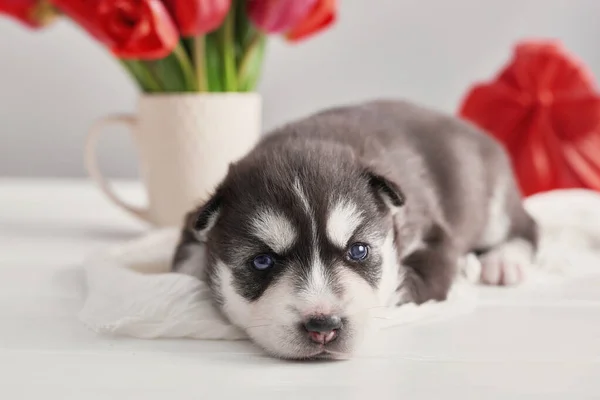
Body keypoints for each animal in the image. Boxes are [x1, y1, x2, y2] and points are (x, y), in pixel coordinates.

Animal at [170, 99, 540, 360]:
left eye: (358, 250)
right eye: (262, 261)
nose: (323, 326)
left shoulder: (432, 237)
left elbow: (404, 283)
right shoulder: (194, 220)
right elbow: (186, 258)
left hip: (491, 201)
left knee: (527, 226)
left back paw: (504, 261)